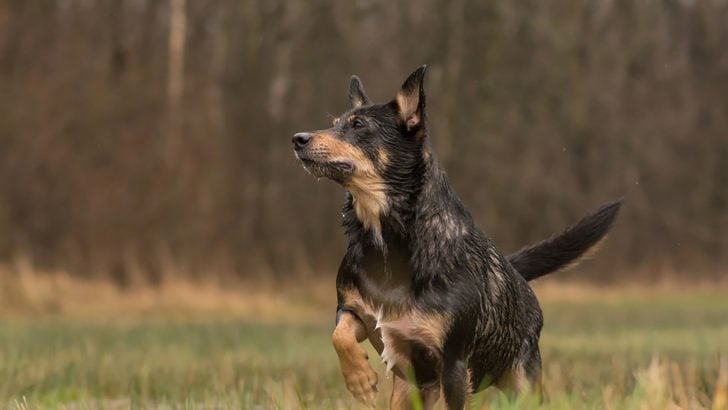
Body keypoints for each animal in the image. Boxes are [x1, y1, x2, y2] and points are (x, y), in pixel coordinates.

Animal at [290, 65, 620, 408]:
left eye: (358, 125)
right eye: (334, 124)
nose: (298, 139)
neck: (387, 241)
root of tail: (515, 272)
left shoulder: (453, 363)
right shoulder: (355, 312)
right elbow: (339, 334)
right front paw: (359, 380)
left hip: (523, 383)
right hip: (410, 390)